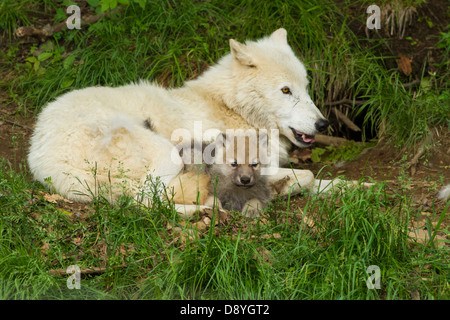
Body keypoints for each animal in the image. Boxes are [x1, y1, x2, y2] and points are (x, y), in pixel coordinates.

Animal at [27, 28, 330, 216]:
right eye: (286, 90)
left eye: (306, 88)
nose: (323, 125)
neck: (231, 108)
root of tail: (40, 156)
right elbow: (306, 175)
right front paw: (284, 188)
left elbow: (319, 180)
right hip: (166, 153)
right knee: (144, 202)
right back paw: (204, 210)